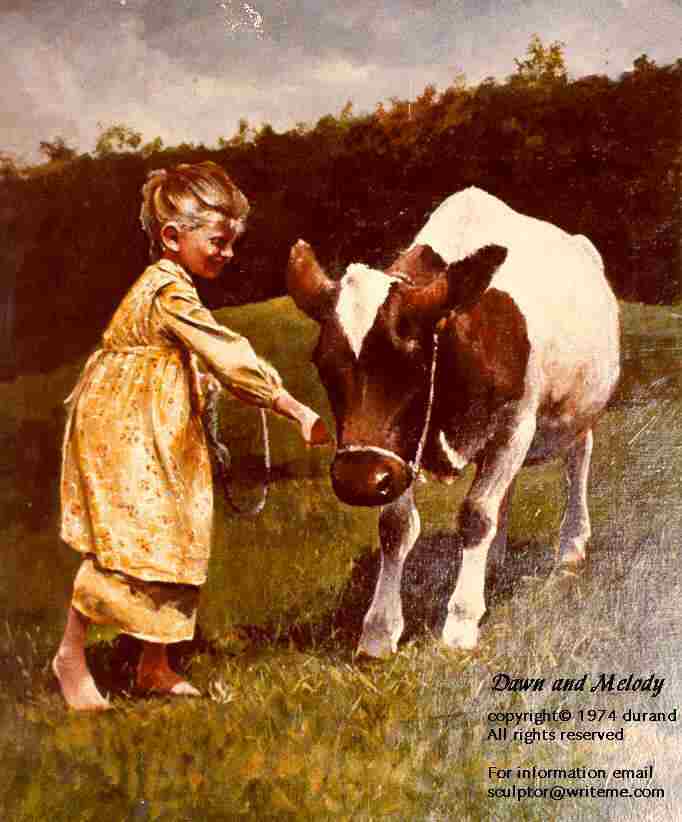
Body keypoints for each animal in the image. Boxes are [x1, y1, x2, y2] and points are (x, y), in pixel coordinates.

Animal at [284, 187, 620, 656]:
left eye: (413, 361)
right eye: (322, 364)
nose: (358, 479)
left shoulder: (517, 424)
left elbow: (476, 514)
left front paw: (461, 622)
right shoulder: (399, 452)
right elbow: (396, 526)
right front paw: (379, 630)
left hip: (581, 409)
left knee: (578, 459)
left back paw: (571, 547)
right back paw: (493, 561)